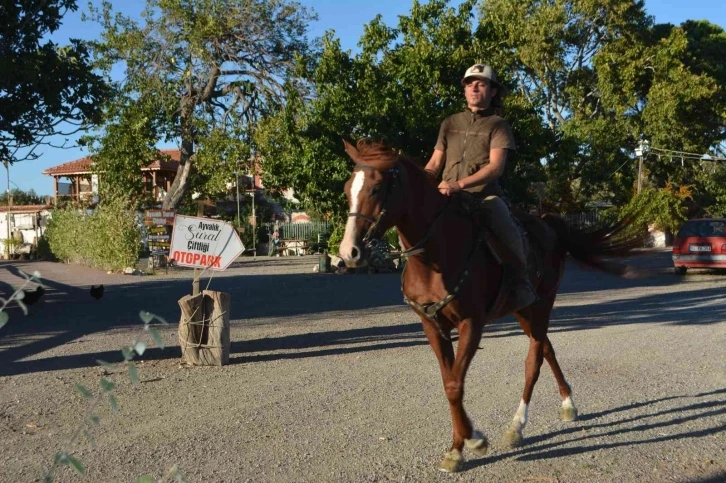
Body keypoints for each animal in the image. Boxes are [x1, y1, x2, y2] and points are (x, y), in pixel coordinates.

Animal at [338, 139, 640, 472]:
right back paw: (567, 404)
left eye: (377, 188)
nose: (349, 252)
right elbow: (449, 382)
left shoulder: (472, 324)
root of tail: (548, 224)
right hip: (524, 311)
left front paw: (472, 441)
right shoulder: (432, 326)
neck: (435, 258)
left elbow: (455, 384)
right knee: (547, 349)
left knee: (534, 360)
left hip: (542, 305)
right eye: (347, 188)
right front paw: (457, 447)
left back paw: (517, 426)